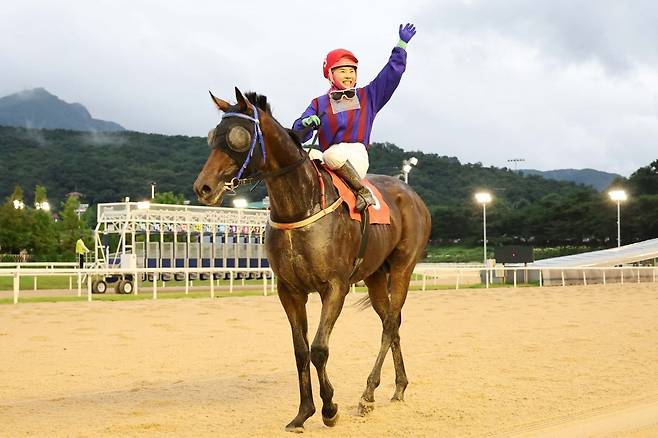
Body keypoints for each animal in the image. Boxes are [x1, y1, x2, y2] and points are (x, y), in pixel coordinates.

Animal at [192, 88, 434, 432]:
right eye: (214, 136)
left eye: (238, 137)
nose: (204, 187)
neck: (300, 206)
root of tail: (410, 194)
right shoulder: (289, 290)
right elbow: (300, 350)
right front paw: (303, 412)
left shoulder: (334, 287)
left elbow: (319, 349)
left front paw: (329, 408)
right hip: (375, 275)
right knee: (393, 321)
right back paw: (397, 387)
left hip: (403, 268)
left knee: (389, 324)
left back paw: (367, 394)